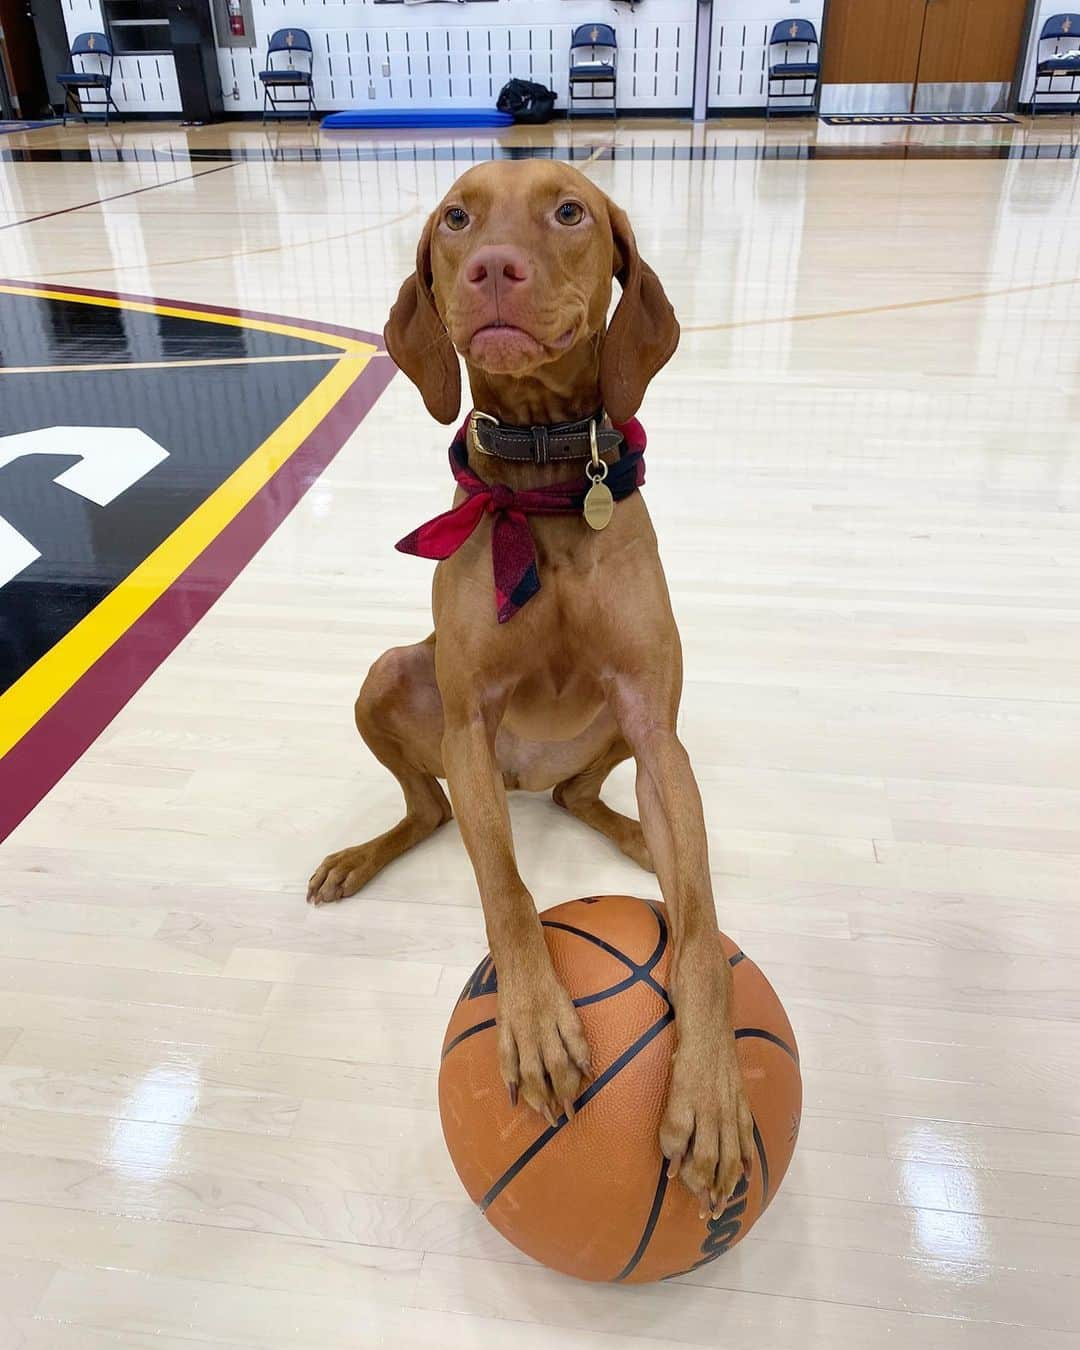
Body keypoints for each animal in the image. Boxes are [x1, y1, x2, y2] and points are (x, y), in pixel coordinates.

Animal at [307, 157, 756, 1215]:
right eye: (456, 218)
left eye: (569, 212)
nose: (492, 270)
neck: (548, 485)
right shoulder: (469, 728)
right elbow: (506, 890)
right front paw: (538, 1021)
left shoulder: (655, 721)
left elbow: (703, 927)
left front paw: (711, 1092)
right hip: (395, 683)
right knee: (435, 811)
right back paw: (361, 856)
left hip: (622, 740)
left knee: (584, 798)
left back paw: (638, 839)